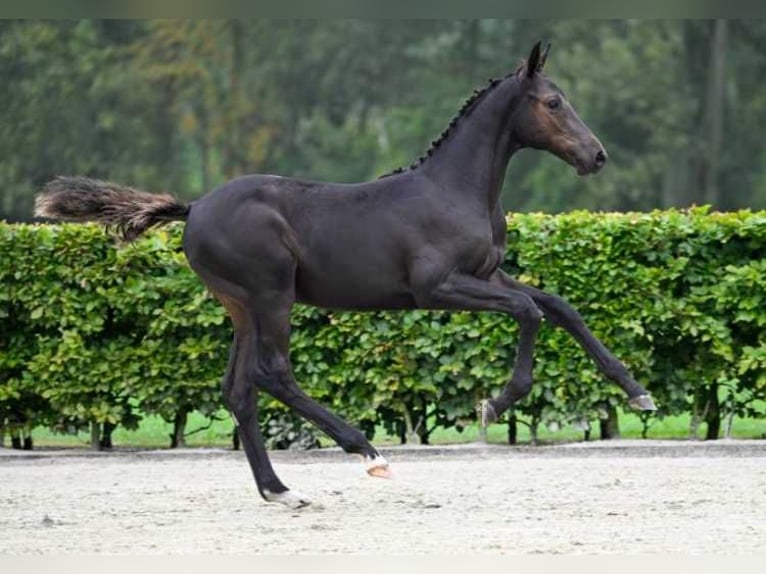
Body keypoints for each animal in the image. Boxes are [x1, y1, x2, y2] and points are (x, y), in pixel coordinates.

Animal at [36, 42, 656, 510]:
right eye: (553, 101)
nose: (597, 156)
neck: (454, 190)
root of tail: (192, 209)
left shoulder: (489, 275)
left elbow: (559, 305)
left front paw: (638, 392)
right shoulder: (437, 287)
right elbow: (531, 312)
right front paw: (497, 403)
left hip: (240, 306)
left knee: (239, 389)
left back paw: (280, 490)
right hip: (271, 294)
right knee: (273, 373)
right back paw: (366, 451)